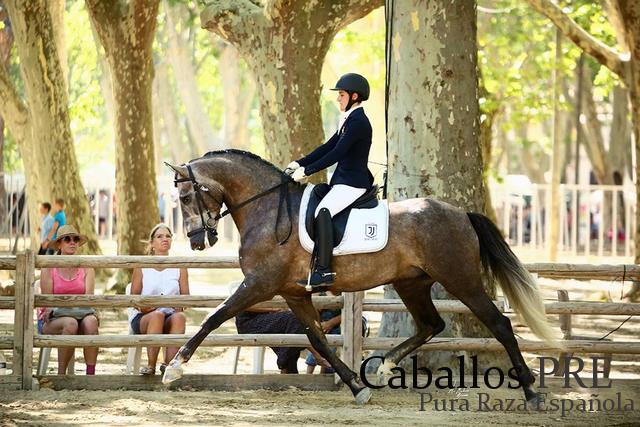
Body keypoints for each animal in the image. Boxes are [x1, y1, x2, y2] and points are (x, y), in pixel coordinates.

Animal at [163, 149, 557, 405]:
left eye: (185, 197)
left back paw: (531, 392)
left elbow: (214, 317)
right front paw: (357, 387)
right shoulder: (293, 293)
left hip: (461, 280)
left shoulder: (259, 284)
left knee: (498, 324)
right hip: (411, 283)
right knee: (431, 325)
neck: (267, 209)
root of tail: (461, 214)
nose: (198, 241)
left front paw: (174, 369)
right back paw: (384, 367)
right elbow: (318, 339)